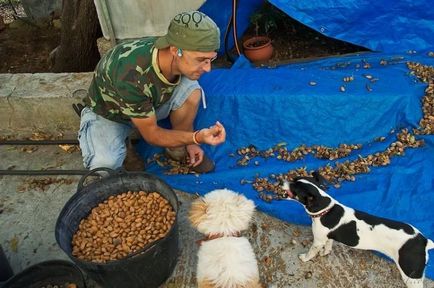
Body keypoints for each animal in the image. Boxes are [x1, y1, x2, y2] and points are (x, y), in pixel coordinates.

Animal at [282, 172, 434, 286]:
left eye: (295, 188)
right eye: (294, 179)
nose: (282, 181)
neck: (326, 210)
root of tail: (424, 241)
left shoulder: (318, 241)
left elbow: (311, 252)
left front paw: (305, 258)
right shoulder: (328, 238)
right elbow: (328, 246)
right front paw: (325, 252)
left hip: (411, 276)